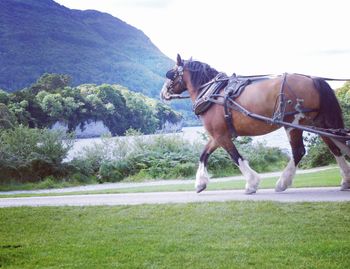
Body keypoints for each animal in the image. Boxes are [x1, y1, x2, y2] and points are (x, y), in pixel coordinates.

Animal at [160, 54, 350, 193]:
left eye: (171, 74)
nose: (163, 93)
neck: (213, 93)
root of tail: (313, 79)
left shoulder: (221, 135)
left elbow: (235, 156)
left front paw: (252, 183)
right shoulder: (217, 135)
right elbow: (203, 155)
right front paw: (200, 183)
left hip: (292, 124)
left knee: (299, 151)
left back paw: (282, 183)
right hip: (319, 124)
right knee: (335, 148)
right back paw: (346, 180)